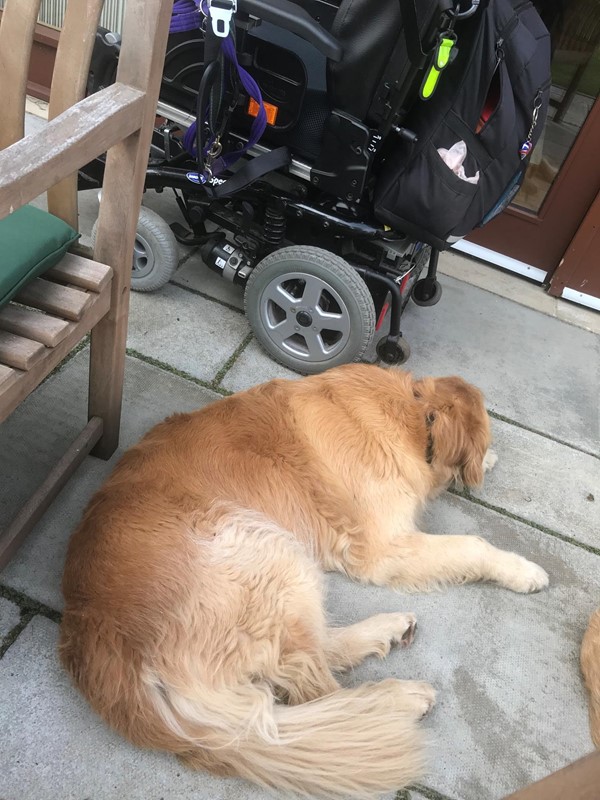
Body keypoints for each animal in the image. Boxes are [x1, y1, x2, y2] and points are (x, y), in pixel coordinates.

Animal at [59, 366, 548, 796]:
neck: (411, 410)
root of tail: (100, 638)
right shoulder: (385, 546)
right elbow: (473, 544)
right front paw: (523, 570)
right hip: (263, 548)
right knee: (319, 694)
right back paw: (399, 699)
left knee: (317, 658)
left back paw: (387, 630)